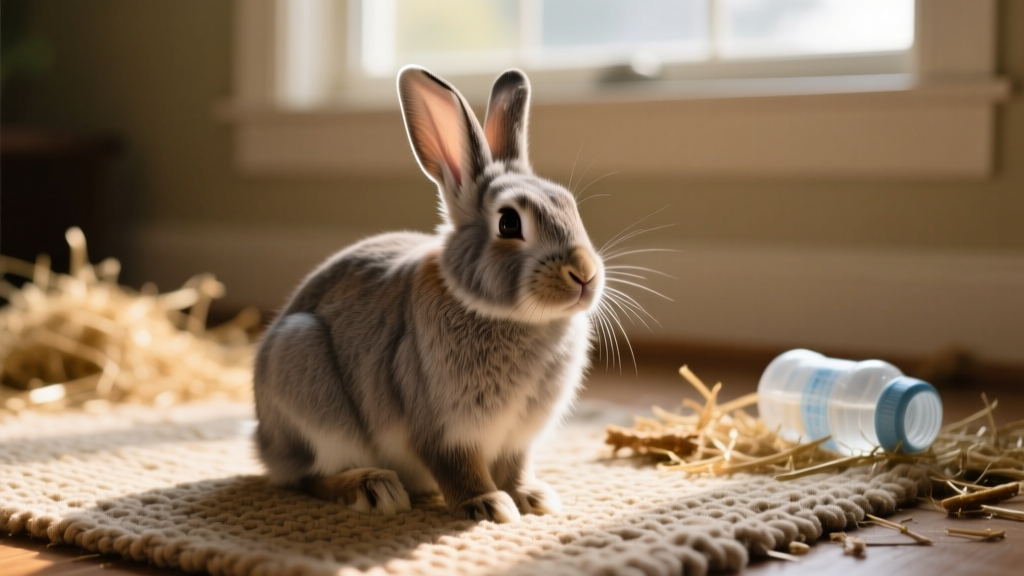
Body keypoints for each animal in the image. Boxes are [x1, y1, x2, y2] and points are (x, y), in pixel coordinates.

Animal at [253, 65, 604, 524]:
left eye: (570, 206)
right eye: (509, 223)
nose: (585, 275)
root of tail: (263, 442)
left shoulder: (516, 439)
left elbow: (515, 467)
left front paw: (533, 498)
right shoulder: (441, 427)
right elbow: (457, 468)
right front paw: (488, 505)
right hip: (306, 377)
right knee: (308, 477)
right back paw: (373, 489)